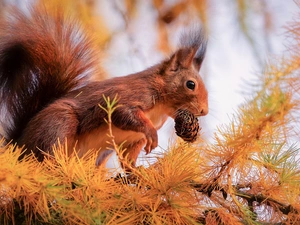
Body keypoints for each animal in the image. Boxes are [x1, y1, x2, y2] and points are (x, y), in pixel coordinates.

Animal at [0, 5, 209, 169]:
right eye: (191, 84)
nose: (204, 111)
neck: (161, 108)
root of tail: (19, 143)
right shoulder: (130, 95)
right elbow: (124, 113)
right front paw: (151, 132)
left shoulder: (134, 139)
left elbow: (127, 160)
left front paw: (137, 171)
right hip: (58, 123)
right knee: (48, 149)